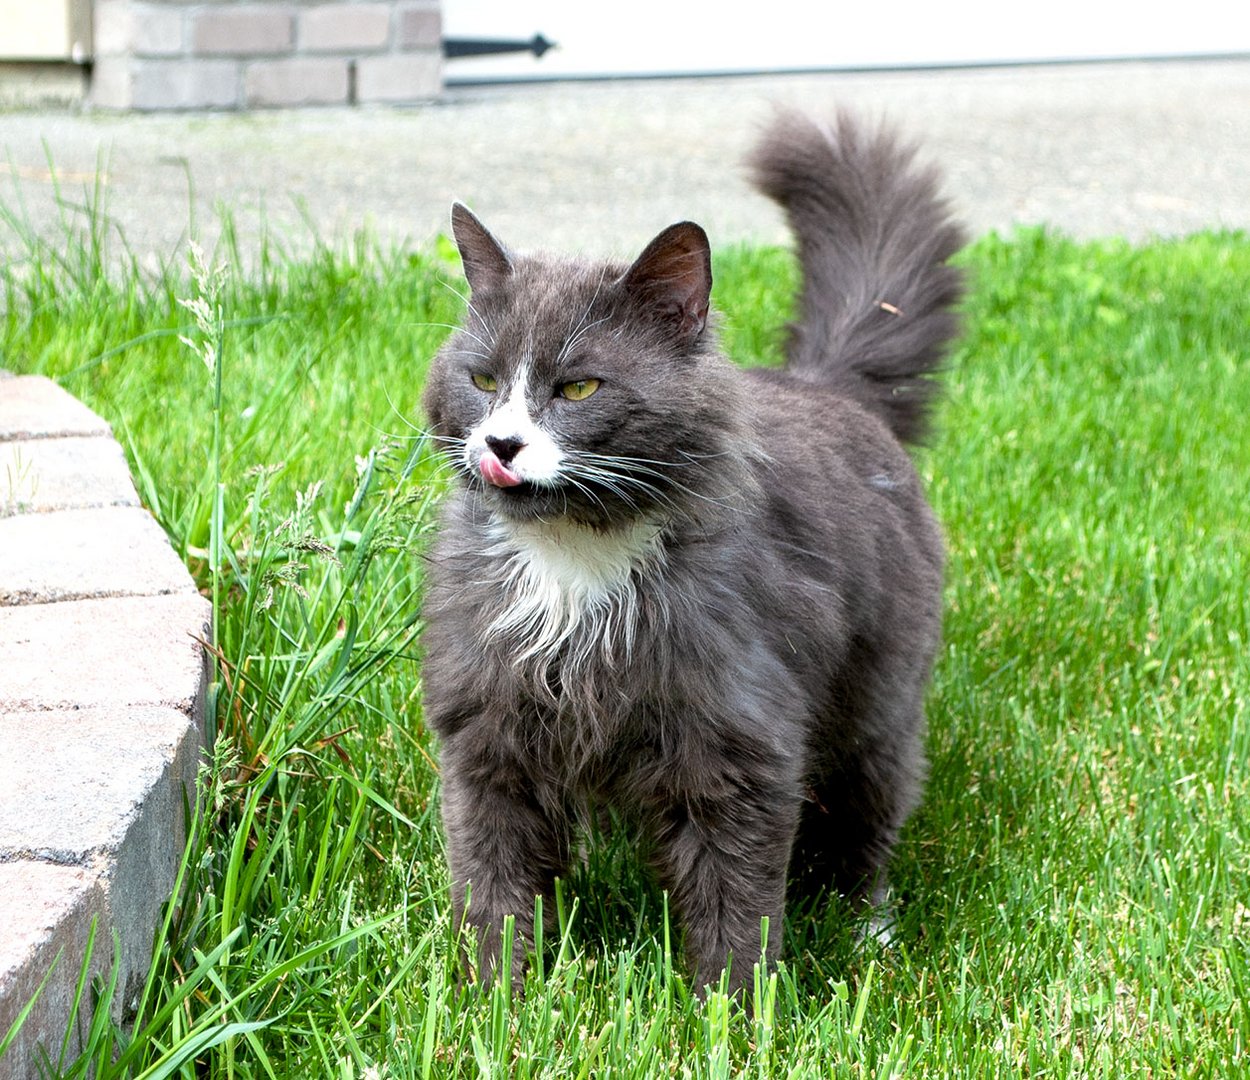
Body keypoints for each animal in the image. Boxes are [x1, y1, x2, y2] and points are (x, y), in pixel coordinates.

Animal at [420, 110, 965, 995]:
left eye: (579, 388)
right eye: (483, 379)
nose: (500, 443)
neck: (577, 561)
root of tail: (825, 385)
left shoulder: (738, 744)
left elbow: (733, 903)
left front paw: (734, 1011)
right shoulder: (486, 734)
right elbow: (492, 884)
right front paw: (495, 998)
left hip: (876, 707)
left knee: (865, 825)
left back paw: (868, 931)